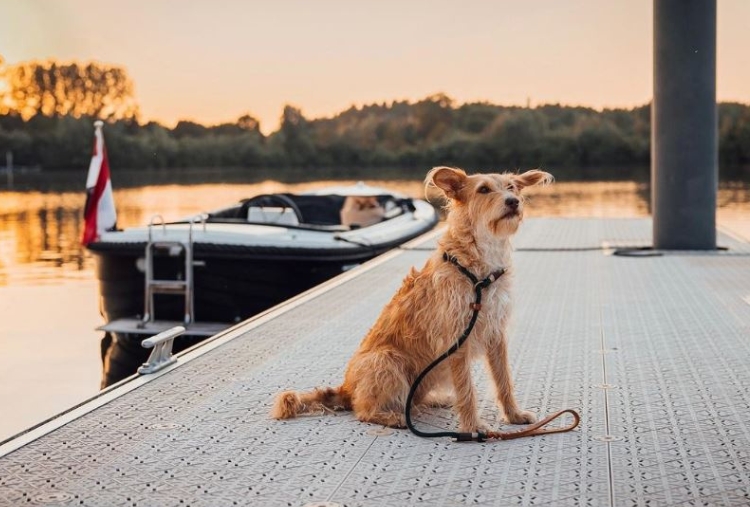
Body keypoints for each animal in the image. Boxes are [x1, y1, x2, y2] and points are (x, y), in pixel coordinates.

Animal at [274, 167, 556, 432]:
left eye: (511, 187)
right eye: (484, 190)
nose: (513, 201)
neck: (478, 268)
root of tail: (346, 388)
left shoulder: (496, 333)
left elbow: (503, 379)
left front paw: (514, 415)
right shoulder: (457, 336)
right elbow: (466, 388)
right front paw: (473, 427)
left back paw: (435, 399)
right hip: (385, 360)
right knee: (362, 410)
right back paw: (392, 417)